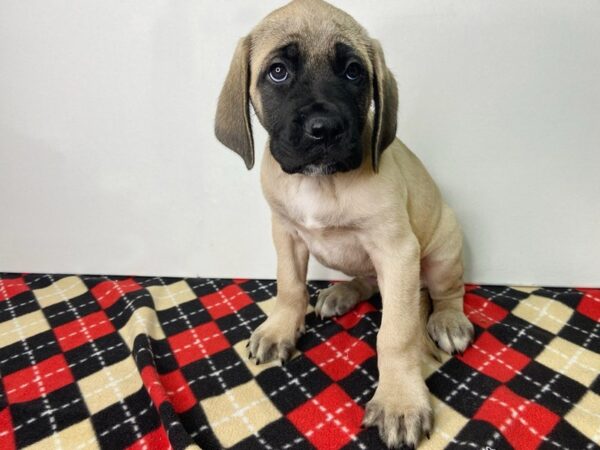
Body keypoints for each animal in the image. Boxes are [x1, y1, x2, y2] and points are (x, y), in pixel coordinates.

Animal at [216, 0, 474, 446]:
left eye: (354, 72)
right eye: (278, 71)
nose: (324, 129)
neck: (321, 181)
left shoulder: (396, 251)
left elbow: (396, 334)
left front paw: (400, 401)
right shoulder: (285, 235)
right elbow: (289, 287)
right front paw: (280, 328)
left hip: (441, 253)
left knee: (443, 294)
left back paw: (447, 319)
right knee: (369, 282)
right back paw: (342, 293)